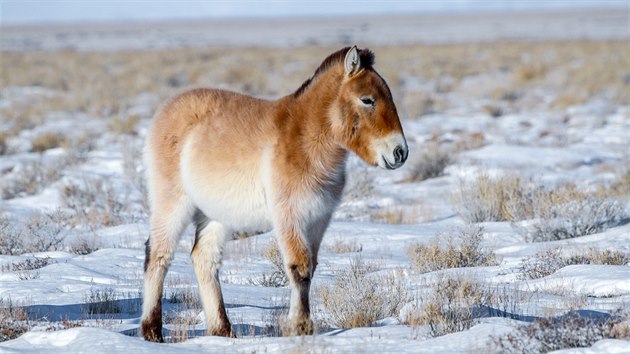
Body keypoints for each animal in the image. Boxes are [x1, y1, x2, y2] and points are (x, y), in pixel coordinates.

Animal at [141, 45, 410, 342]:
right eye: (367, 100)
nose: (400, 152)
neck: (306, 142)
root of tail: (167, 108)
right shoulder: (289, 218)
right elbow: (299, 268)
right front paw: (301, 327)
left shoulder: (317, 221)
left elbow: (310, 269)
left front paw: (297, 325)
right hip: (172, 204)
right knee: (158, 256)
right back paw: (152, 331)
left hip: (215, 215)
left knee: (204, 259)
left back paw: (222, 331)